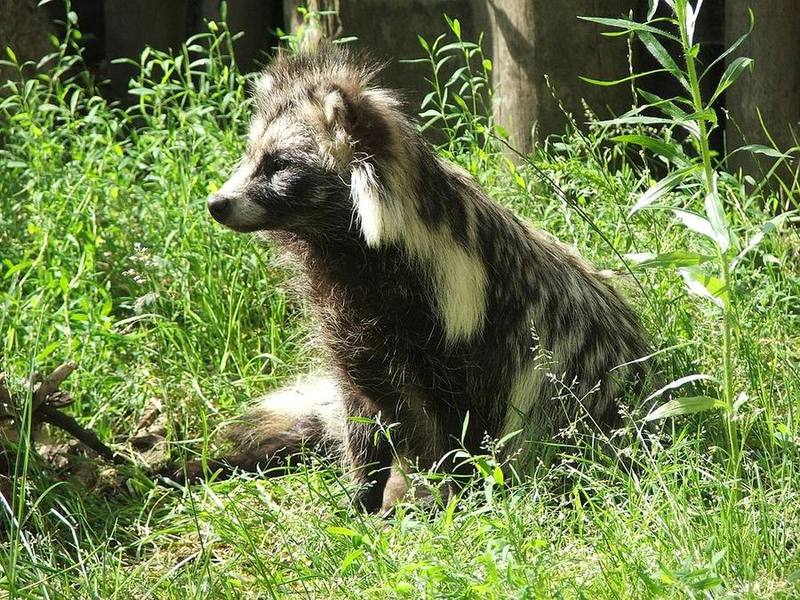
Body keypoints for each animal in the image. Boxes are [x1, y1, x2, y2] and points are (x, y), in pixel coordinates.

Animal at [202, 46, 650, 512]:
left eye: (279, 165)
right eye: (252, 156)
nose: (217, 203)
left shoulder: (461, 322)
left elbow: (463, 420)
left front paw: (454, 491)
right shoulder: (353, 327)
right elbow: (363, 410)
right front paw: (362, 495)